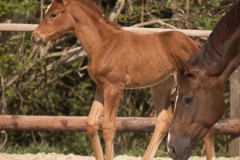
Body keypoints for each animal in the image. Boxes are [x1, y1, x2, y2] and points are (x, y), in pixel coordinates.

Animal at [31, 0, 214, 160]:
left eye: (53, 14)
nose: (34, 37)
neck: (103, 44)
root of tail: (194, 44)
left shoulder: (114, 87)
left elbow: (108, 126)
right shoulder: (101, 87)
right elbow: (91, 123)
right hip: (160, 86)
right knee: (164, 120)